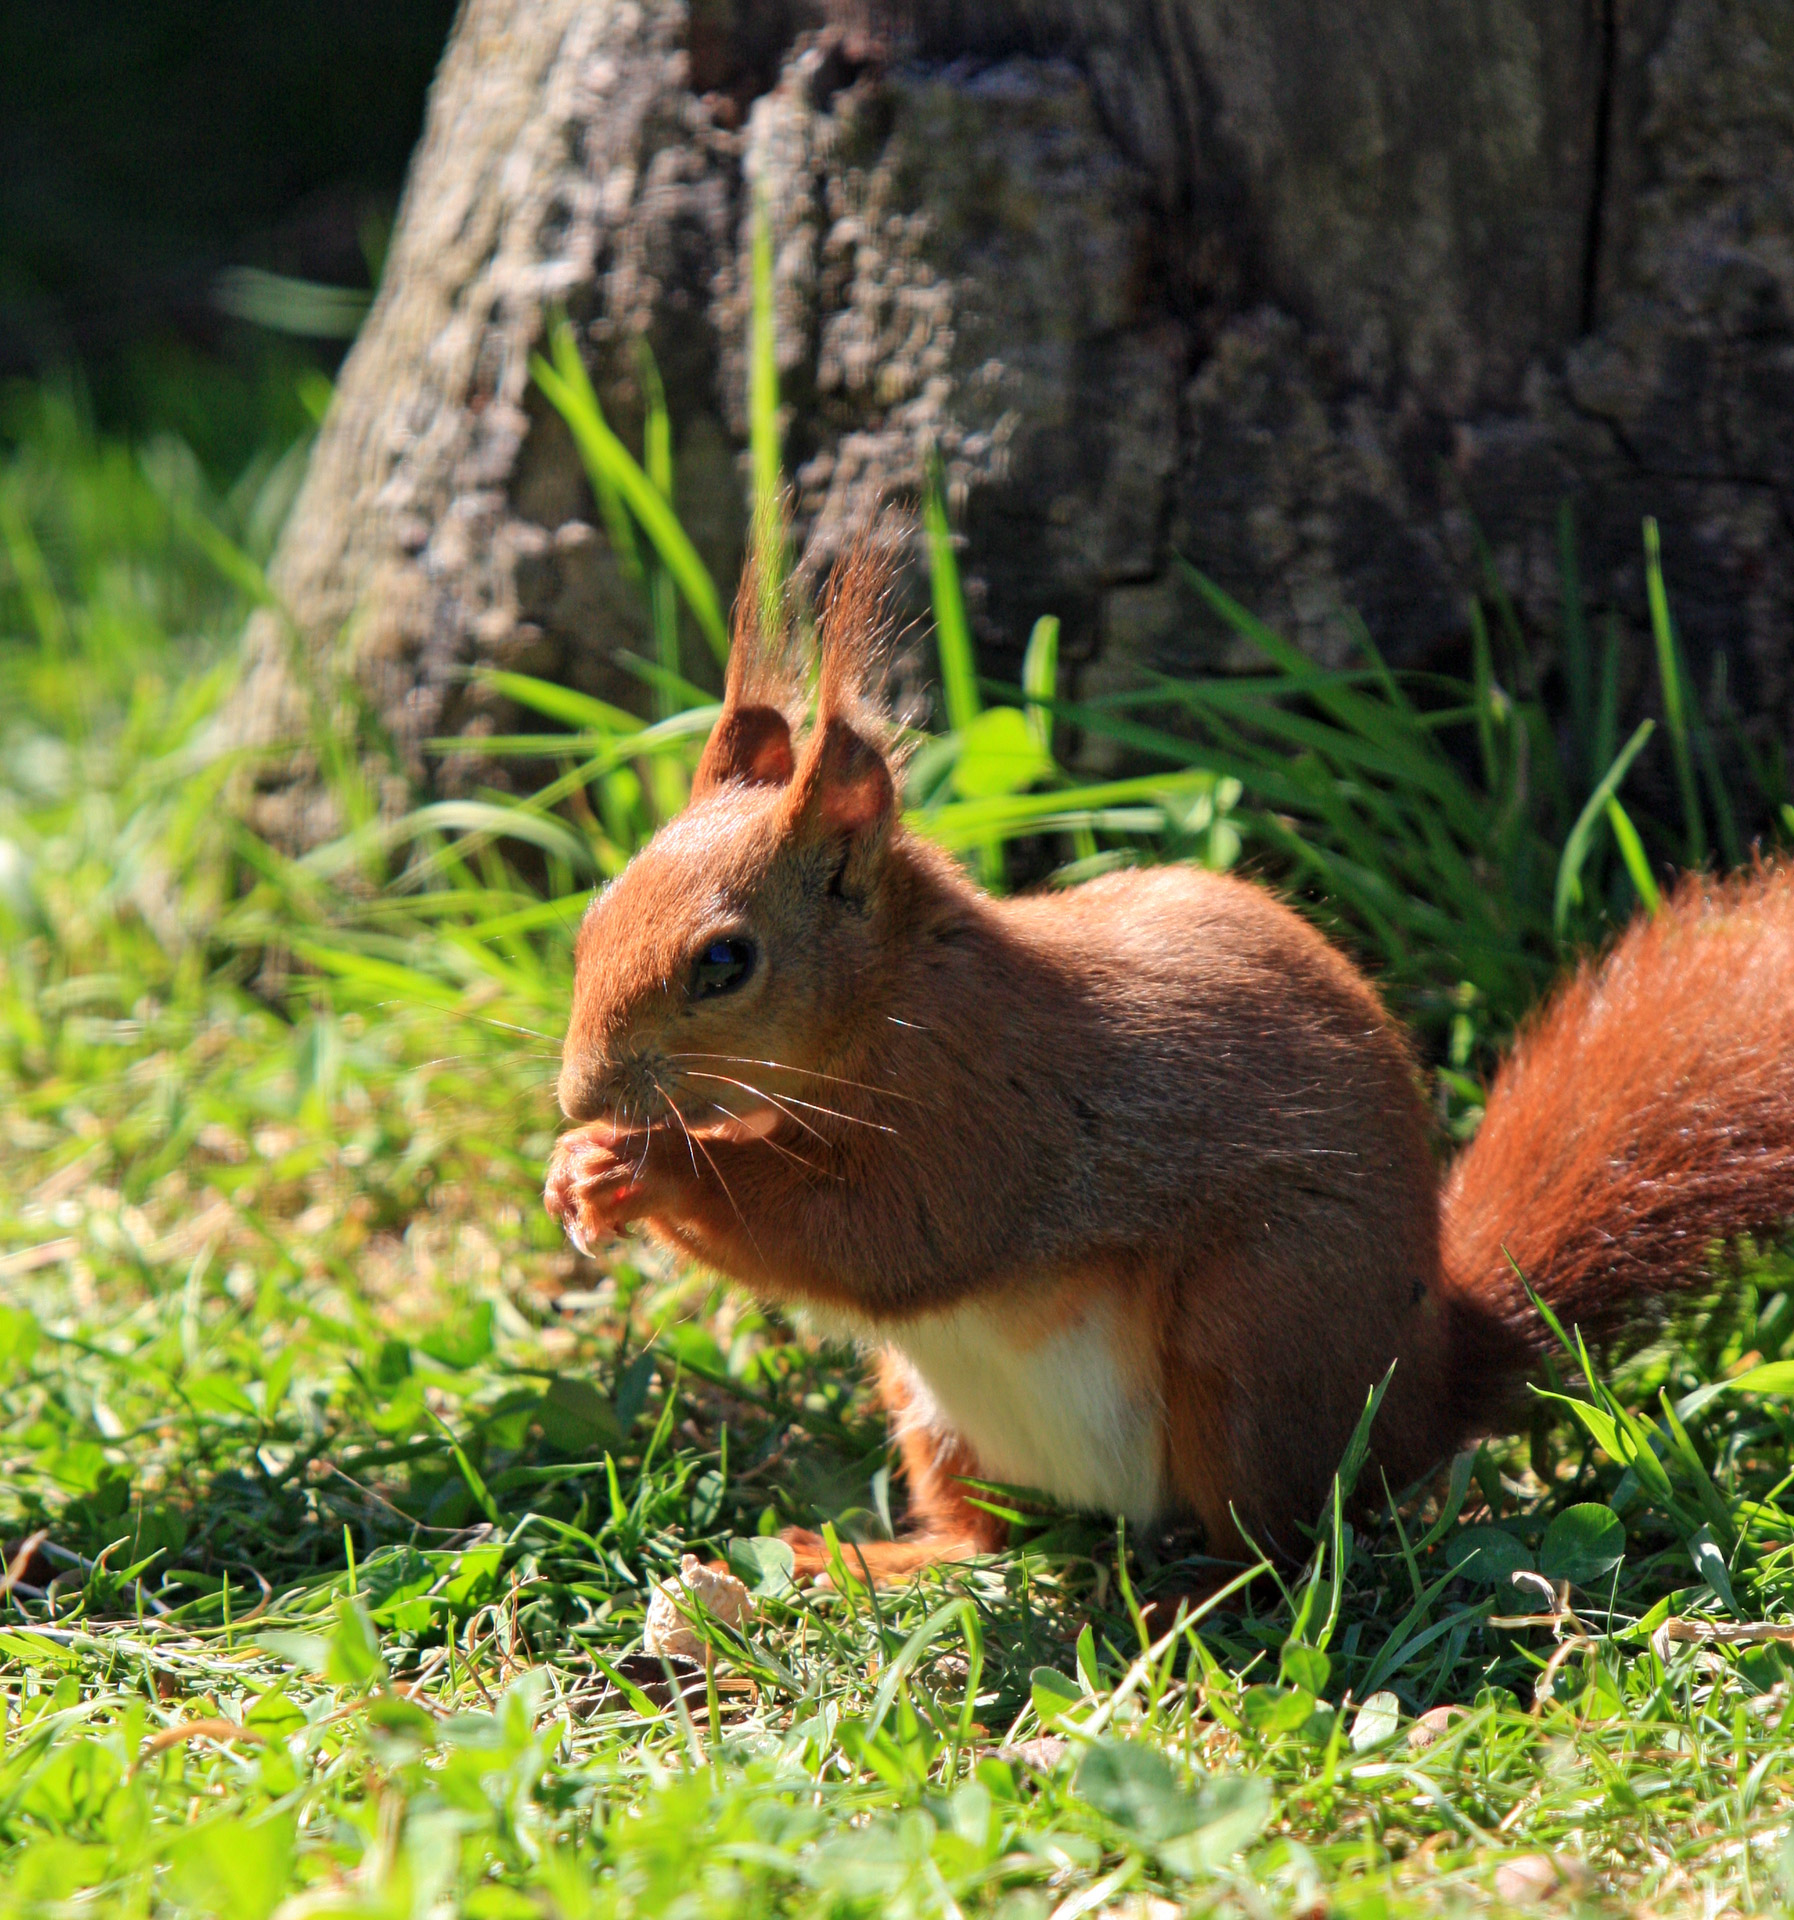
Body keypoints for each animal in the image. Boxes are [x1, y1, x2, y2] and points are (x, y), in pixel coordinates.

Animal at [541, 541, 1794, 1574]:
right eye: (594, 912)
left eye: (725, 962)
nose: (578, 1091)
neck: (892, 994)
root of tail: (1425, 1382)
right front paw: (575, 1168)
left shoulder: (984, 1103)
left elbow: (883, 1238)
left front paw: (644, 1166)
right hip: (932, 1408)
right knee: (984, 1536)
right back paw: (876, 1560)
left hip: (1252, 1338)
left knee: (1280, 1541)